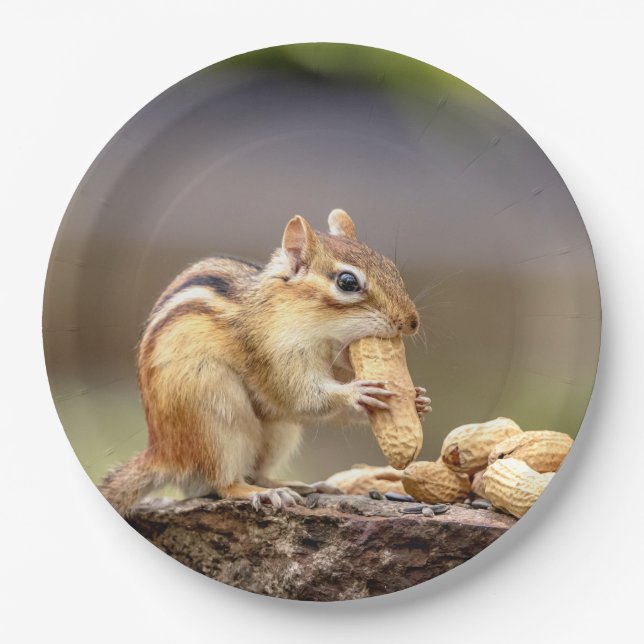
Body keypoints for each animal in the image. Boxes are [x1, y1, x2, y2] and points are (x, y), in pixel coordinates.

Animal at [100, 209, 431, 515]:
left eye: (391, 268)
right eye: (347, 282)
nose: (412, 322)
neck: (323, 337)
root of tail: (163, 453)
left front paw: (418, 400)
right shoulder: (273, 354)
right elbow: (302, 397)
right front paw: (357, 393)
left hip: (278, 432)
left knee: (256, 471)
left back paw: (299, 485)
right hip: (214, 413)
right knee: (224, 483)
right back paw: (263, 493)